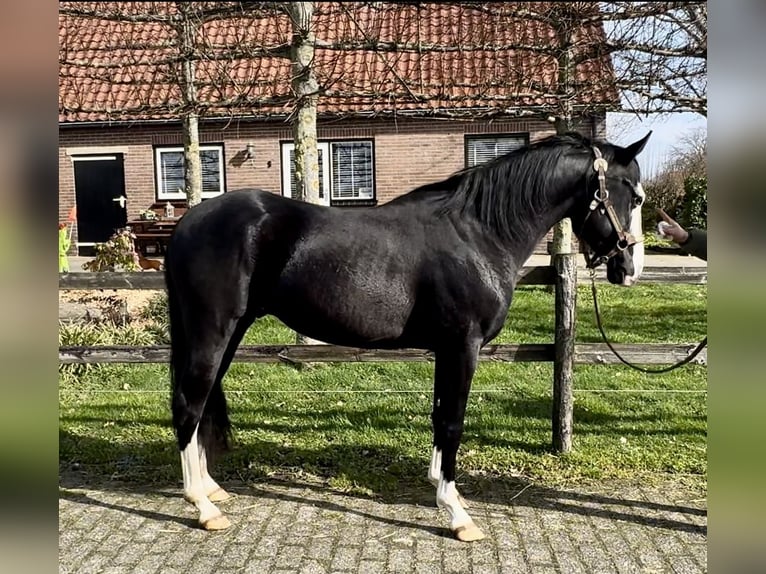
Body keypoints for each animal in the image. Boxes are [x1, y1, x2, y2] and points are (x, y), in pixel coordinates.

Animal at [164, 131, 650, 541]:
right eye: (634, 194)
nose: (629, 269)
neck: (478, 234)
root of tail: (188, 222)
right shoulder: (462, 346)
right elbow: (453, 421)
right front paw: (457, 514)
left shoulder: (445, 350)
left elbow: (438, 417)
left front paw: (440, 486)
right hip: (213, 330)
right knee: (190, 404)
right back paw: (203, 506)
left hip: (229, 332)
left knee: (200, 403)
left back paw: (212, 488)